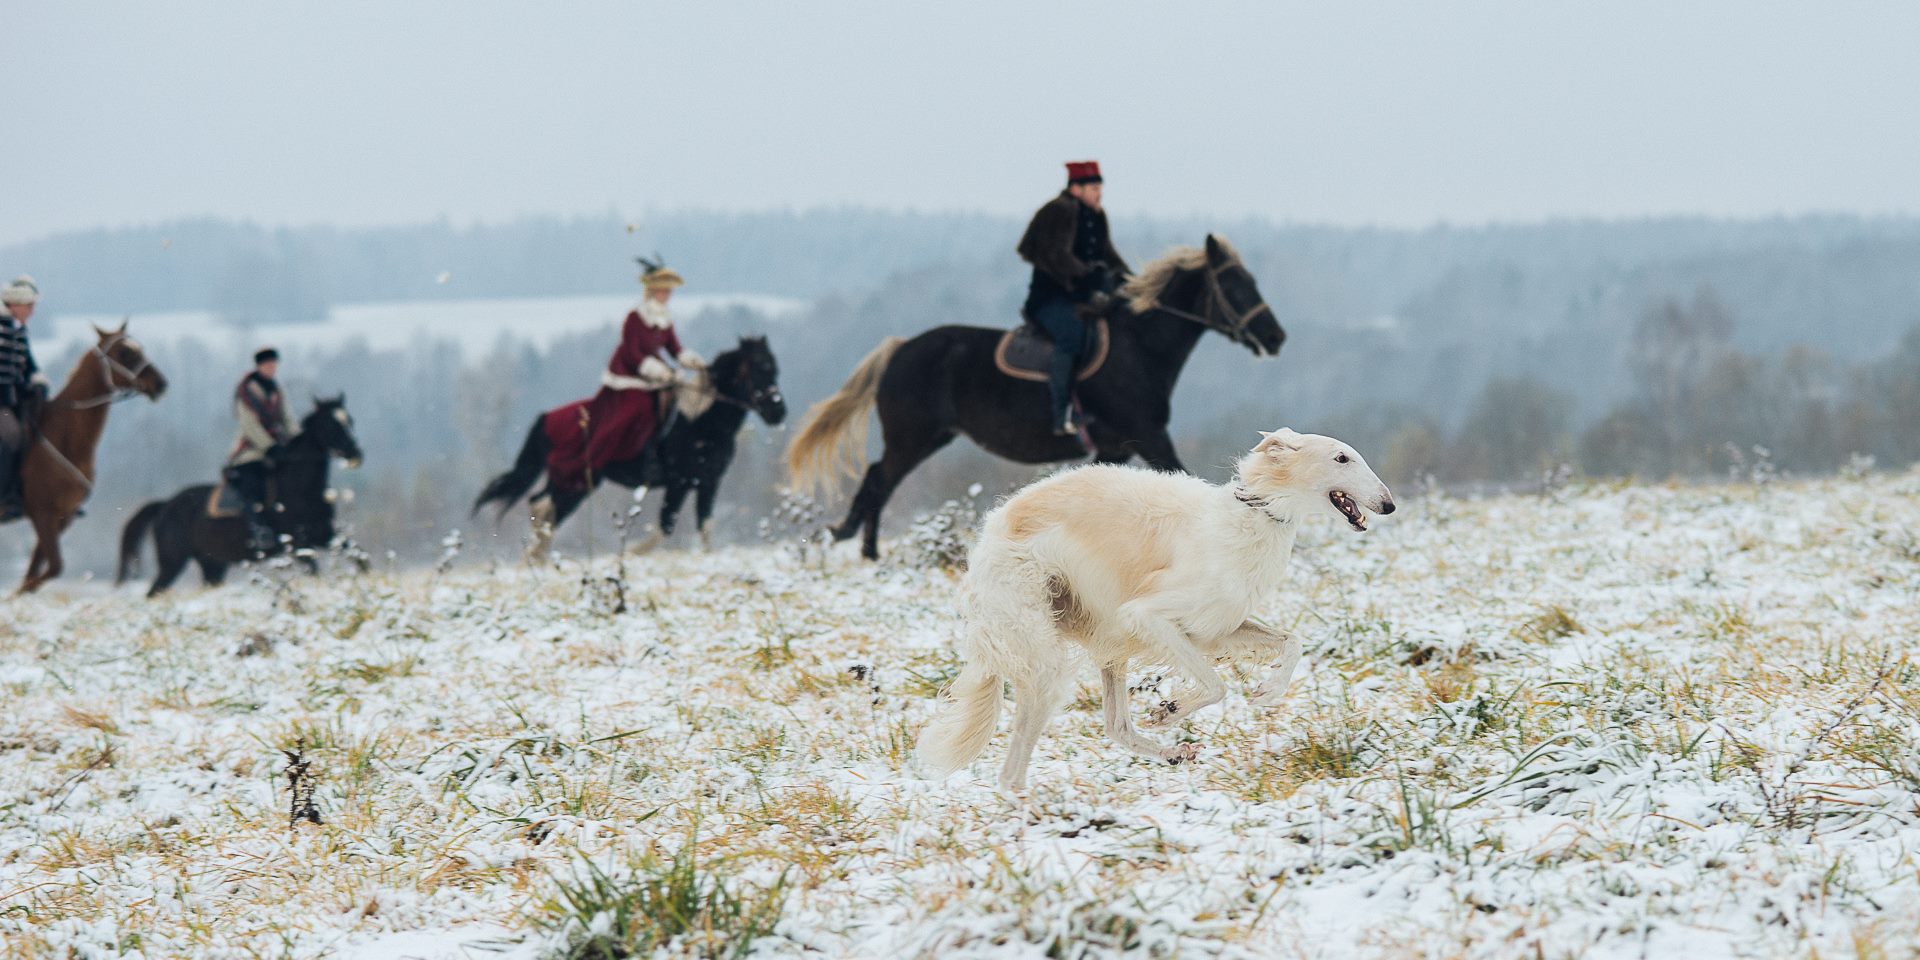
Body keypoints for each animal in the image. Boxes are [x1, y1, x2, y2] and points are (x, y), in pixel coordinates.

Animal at [15, 322, 167, 591]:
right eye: (125, 353)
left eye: (141, 348)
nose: (160, 383)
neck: (64, 437)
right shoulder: (42, 513)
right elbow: (51, 568)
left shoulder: (62, 517)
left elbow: (37, 570)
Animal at [117, 395, 366, 591]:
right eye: (330, 424)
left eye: (350, 420)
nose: (355, 453)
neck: (302, 488)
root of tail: (165, 505)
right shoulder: (298, 544)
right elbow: (315, 572)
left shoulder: (325, 534)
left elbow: (360, 557)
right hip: (173, 563)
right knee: (154, 592)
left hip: (213, 564)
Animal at [472, 337, 787, 560]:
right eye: (760, 369)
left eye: (775, 368)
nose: (778, 411)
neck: (700, 420)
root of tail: (546, 418)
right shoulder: (680, 482)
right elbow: (665, 526)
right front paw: (625, 555)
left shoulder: (708, 482)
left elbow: (705, 527)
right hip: (574, 481)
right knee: (544, 507)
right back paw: (534, 558)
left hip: (572, 481)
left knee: (541, 505)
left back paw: (537, 559)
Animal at [787, 235, 1282, 560]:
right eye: (1235, 285)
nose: (1277, 337)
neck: (1139, 346)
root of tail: (900, 348)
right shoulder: (1149, 435)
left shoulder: (1114, 446)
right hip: (913, 438)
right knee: (879, 478)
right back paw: (861, 546)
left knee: (880, 479)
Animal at [913, 432, 1397, 791]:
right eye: (1341, 458)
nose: (1388, 504)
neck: (1250, 518)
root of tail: (988, 535)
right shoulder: (1147, 617)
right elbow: (1215, 683)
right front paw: (1171, 710)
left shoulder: (1215, 627)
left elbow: (1291, 643)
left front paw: (1267, 691)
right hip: (1045, 651)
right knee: (1012, 769)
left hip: (1108, 644)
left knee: (1115, 727)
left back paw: (1171, 753)